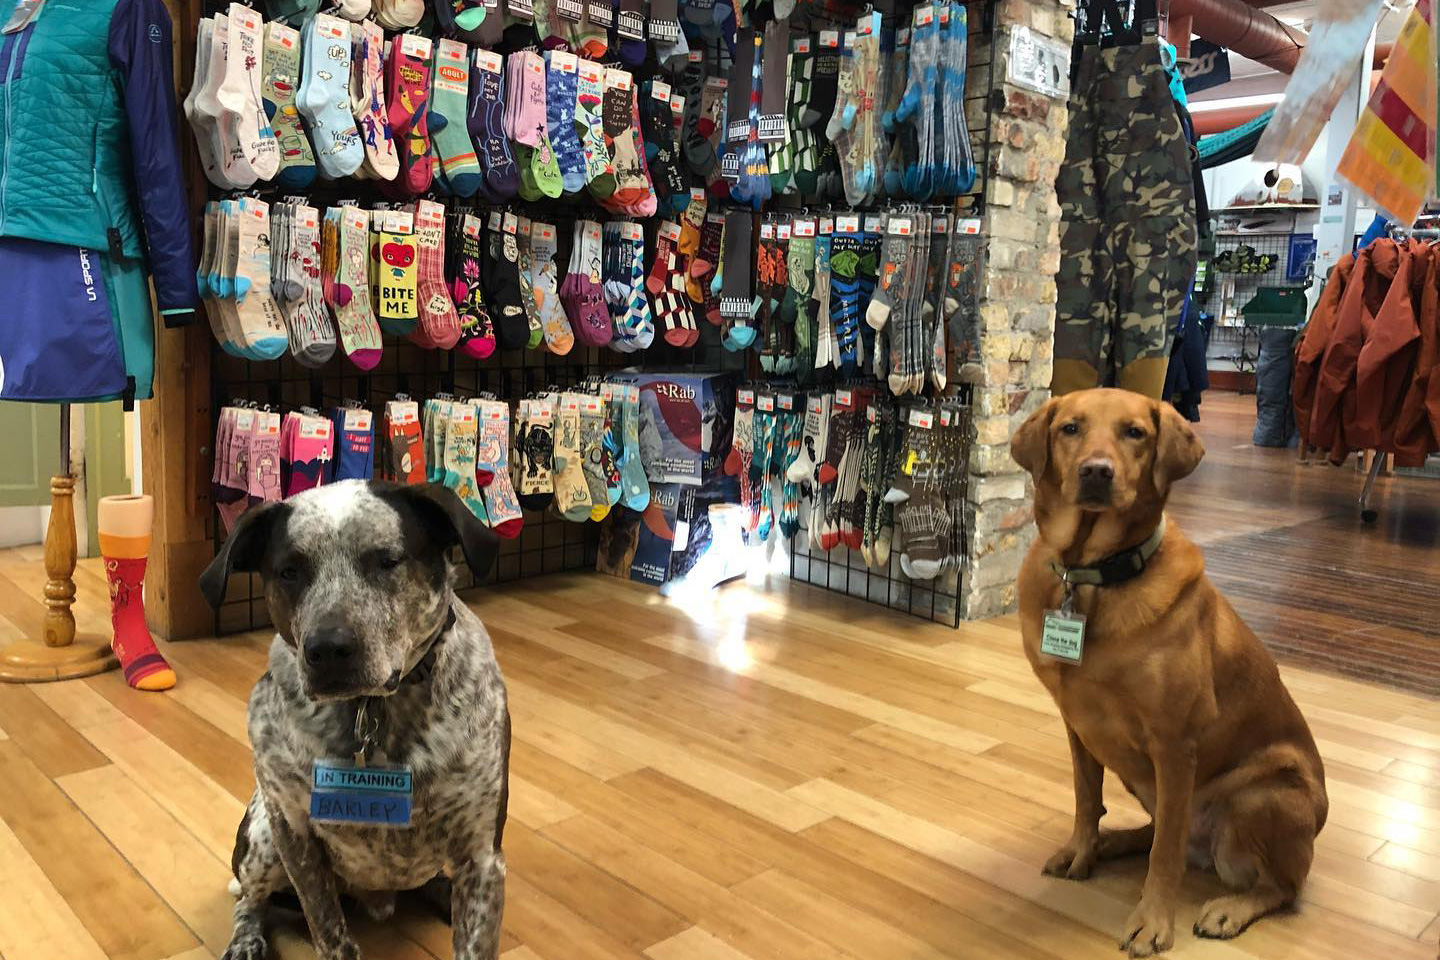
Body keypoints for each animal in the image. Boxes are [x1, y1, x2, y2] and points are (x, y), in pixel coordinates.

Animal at [200, 480, 509, 960]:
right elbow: (329, 932)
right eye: (290, 571)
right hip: (263, 840)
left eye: (386, 560)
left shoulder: (482, 855)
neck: (372, 711)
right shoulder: (296, 839)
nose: (327, 649)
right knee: (250, 898)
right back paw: (246, 940)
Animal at [1013, 388, 1324, 955]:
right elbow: (1087, 799)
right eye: (1070, 428)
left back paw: (1229, 908)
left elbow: (1166, 854)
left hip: (1263, 795)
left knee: (1282, 887)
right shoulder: (1078, 726)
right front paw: (1082, 850)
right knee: (1159, 831)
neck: (1094, 576)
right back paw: (1113, 842)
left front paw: (1153, 922)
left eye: (1135, 433)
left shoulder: (1175, 744)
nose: (1097, 472)